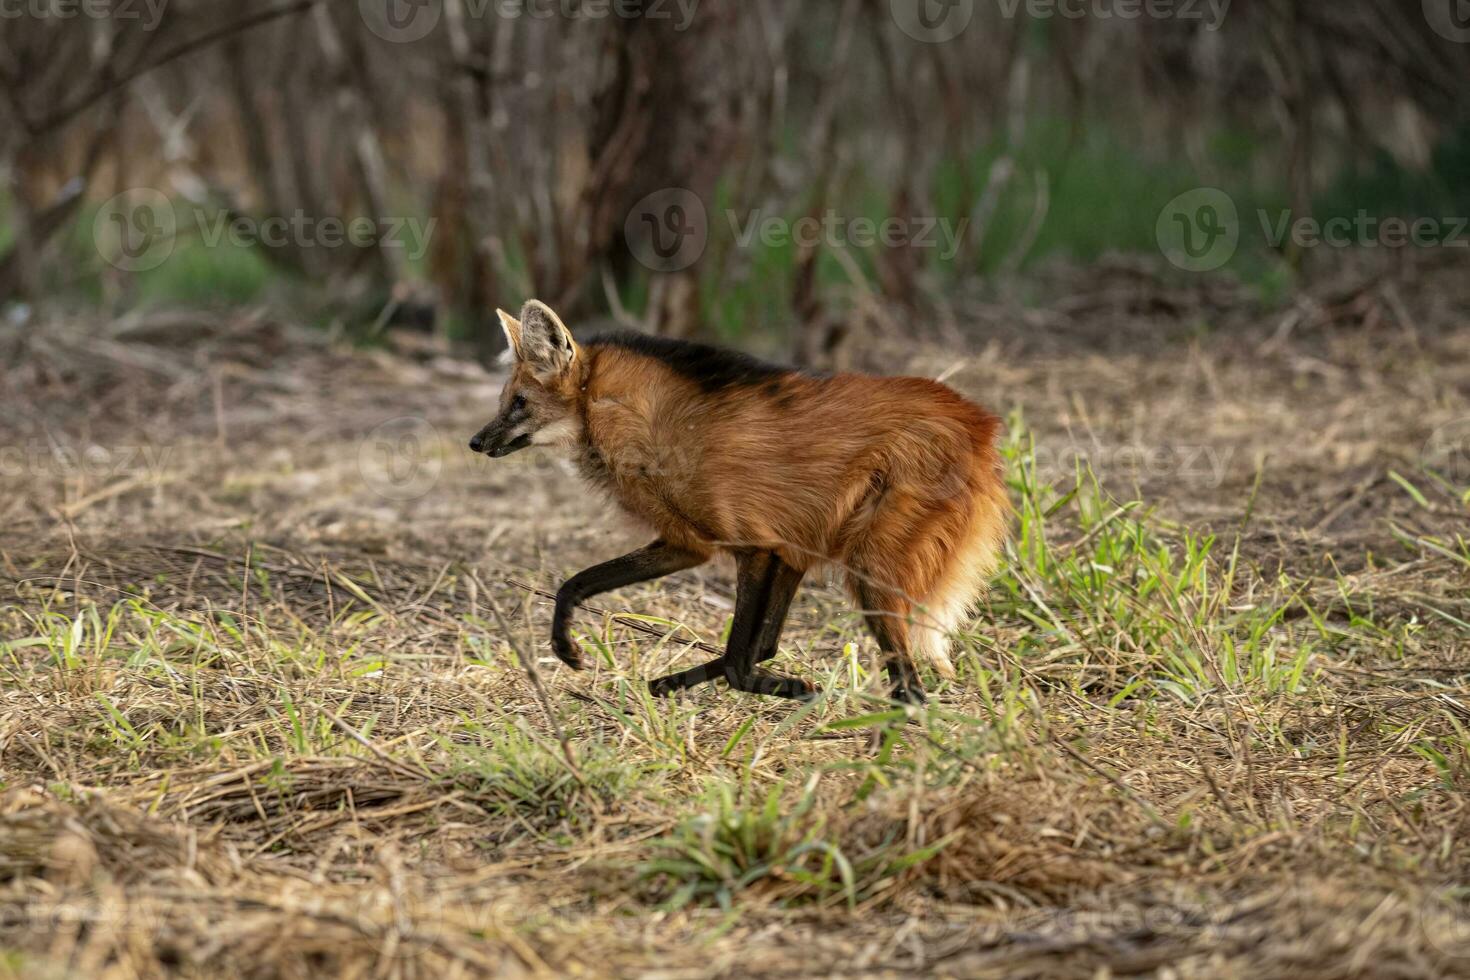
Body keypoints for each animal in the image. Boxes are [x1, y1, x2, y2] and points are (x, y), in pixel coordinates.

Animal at [470, 301, 1011, 705]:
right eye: (504, 401)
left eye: (519, 403)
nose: (476, 442)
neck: (646, 426)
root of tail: (981, 425)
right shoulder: (694, 544)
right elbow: (575, 583)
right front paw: (567, 648)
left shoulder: (753, 546)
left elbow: (737, 663)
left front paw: (793, 688)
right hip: (808, 545)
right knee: (772, 644)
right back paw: (671, 683)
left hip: (867, 566)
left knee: (907, 689)